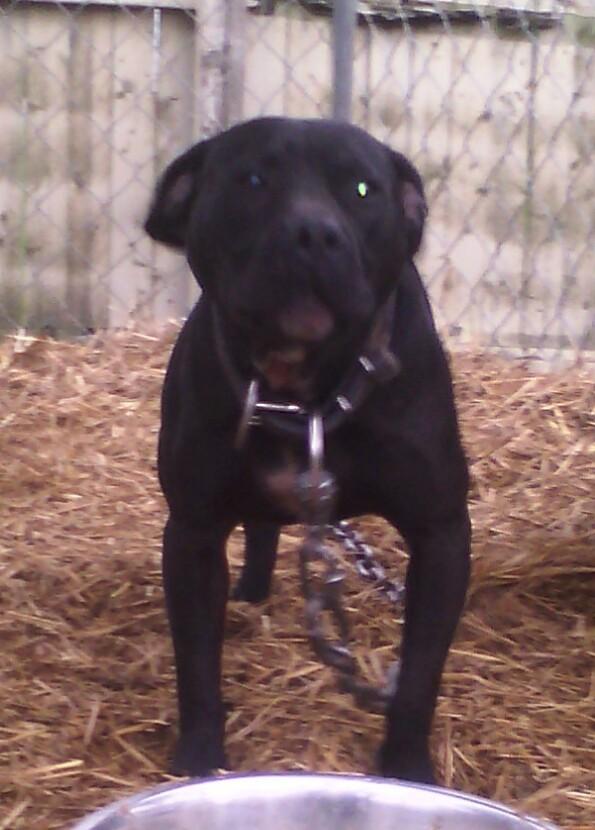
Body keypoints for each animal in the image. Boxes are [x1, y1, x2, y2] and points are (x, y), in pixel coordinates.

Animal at [145, 116, 471, 784]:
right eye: (252, 180)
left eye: (363, 190)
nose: (313, 233)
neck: (303, 394)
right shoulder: (191, 531)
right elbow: (196, 661)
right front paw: (200, 759)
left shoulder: (442, 533)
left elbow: (420, 672)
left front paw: (406, 766)